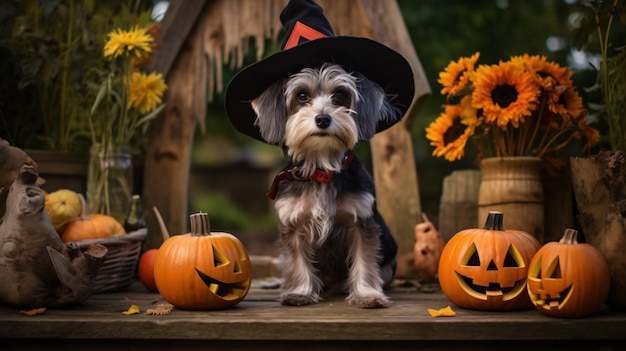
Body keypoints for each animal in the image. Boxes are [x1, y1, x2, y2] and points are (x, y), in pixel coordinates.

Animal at [250, 63, 400, 308]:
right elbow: (297, 261)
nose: (322, 119)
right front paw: (299, 292)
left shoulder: (361, 223)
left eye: (339, 95)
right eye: (302, 96)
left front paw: (367, 294)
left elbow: (365, 260)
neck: (321, 169)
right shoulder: (293, 225)